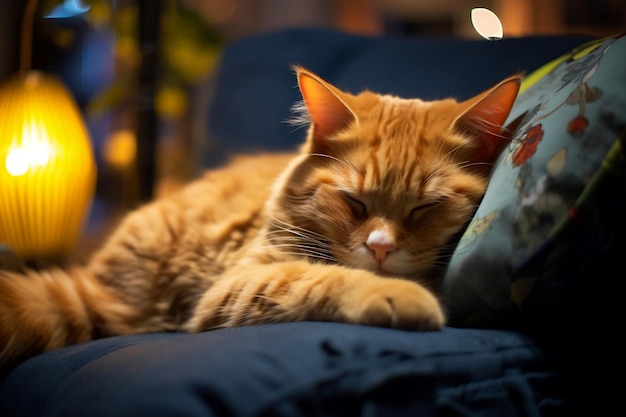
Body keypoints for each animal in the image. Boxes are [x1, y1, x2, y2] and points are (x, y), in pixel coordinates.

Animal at [0, 67, 516, 370]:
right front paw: (398, 294)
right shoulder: (239, 283)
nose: (381, 248)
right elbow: (321, 278)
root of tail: (107, 288)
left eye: (424, 207)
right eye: (354, 203)